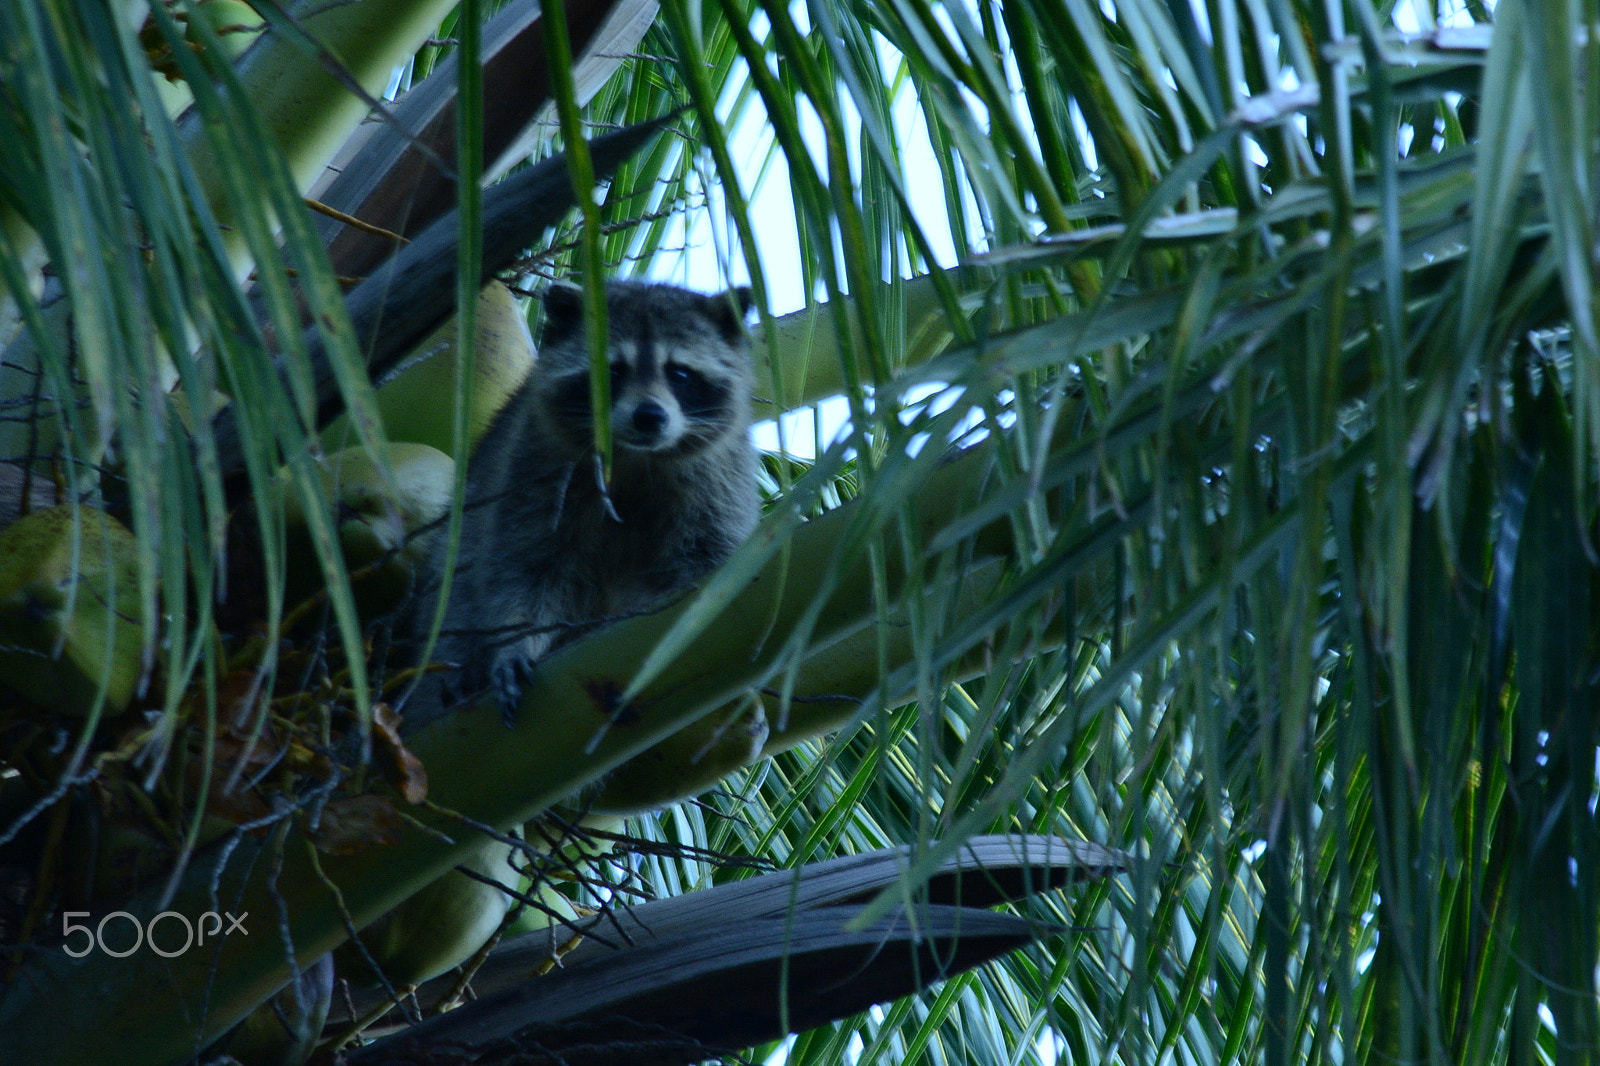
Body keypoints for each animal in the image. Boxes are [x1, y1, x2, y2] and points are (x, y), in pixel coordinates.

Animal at [409, 280, 764, 723]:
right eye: (612, 371)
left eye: (680, 373)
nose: (650, 417)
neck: (633, 457)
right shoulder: (532, 468)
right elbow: (524, 568)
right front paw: (515, 642)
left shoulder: (722, 480)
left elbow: (711, 559)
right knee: (455, 584)